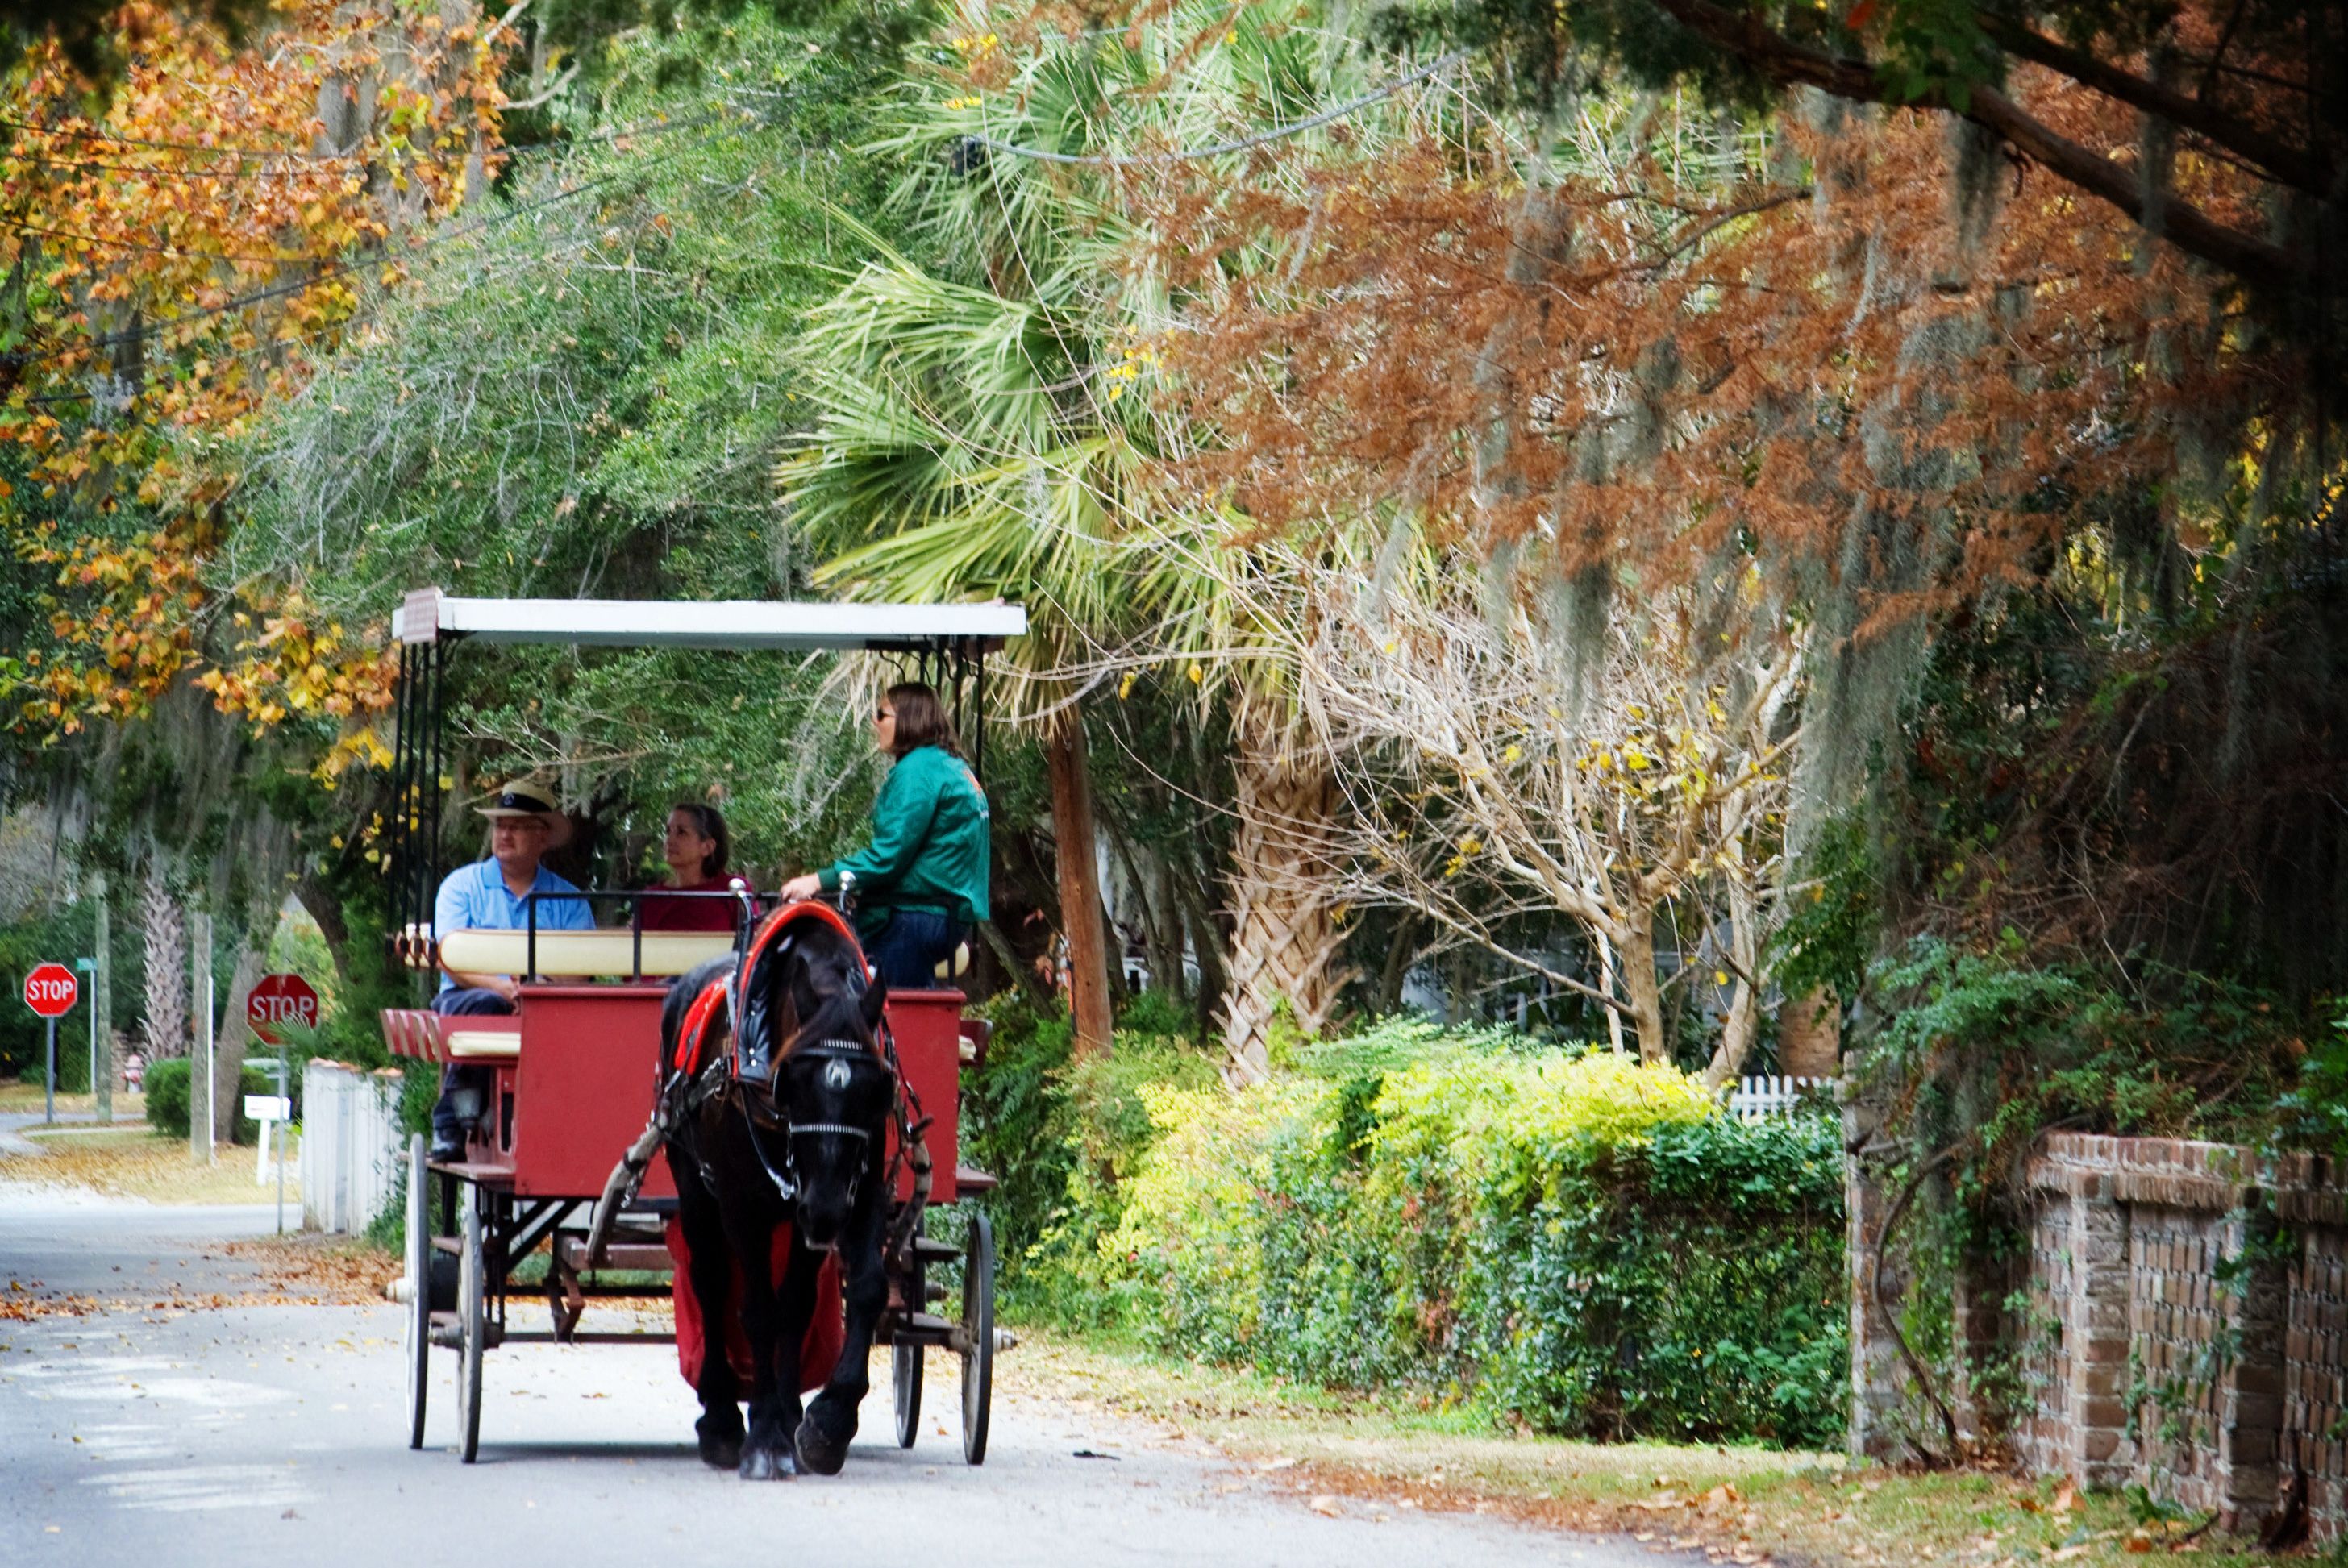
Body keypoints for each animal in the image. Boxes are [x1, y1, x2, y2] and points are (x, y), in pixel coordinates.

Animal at [662, 905, 897, 1483]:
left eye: (875, 1091)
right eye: (792, 1080)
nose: (826, 1208)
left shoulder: (861, 1193)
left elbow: (855, 1291)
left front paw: (825, 1425)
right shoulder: (742, 1204)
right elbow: (757, 1310)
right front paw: (764, 1439)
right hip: (695, 1184)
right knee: (711, 1281)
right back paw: (723, 1419)